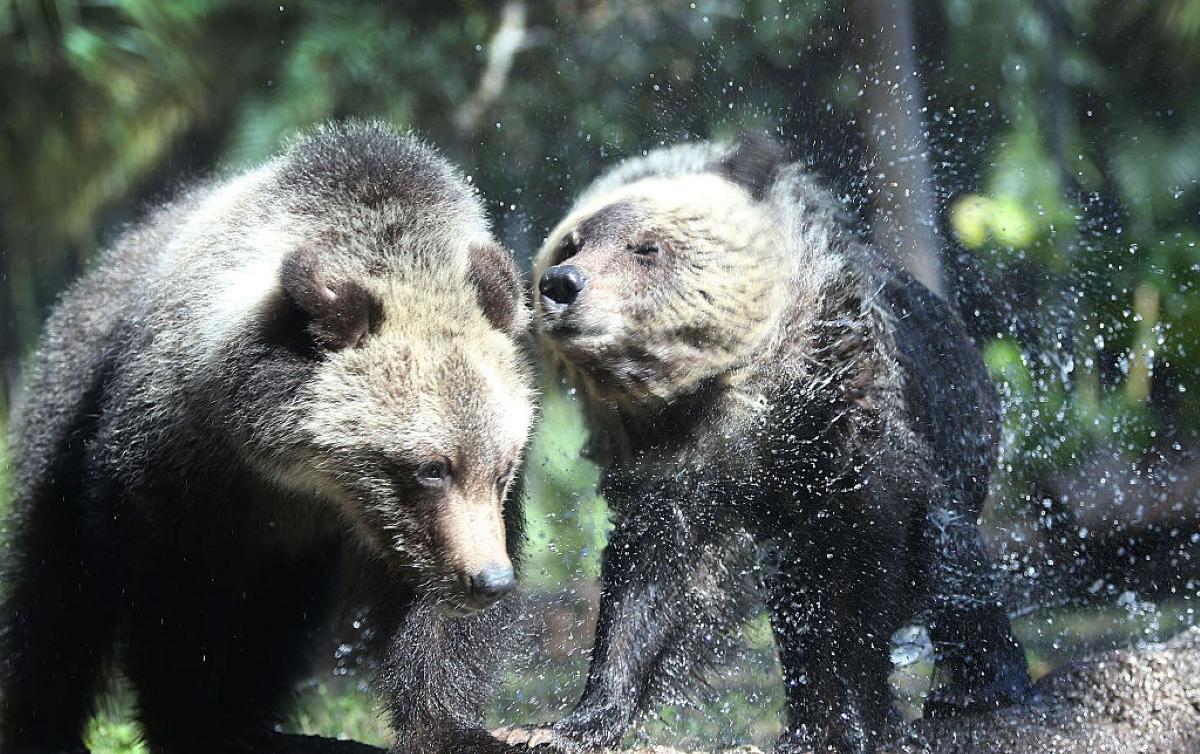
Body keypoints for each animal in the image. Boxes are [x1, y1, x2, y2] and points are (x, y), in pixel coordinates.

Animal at [0, 121, 535, 754]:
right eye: (430, 467)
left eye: (501, 468)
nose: (490, 580)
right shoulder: (174, 459)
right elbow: (166, 597)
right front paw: (189, 720)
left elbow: (430, 617)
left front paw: (450, 724)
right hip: (65, 408)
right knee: (53, 600)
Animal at [496, 134, 1032, 753]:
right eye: (572, 241)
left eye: (646, 247)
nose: (561, 284)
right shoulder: (675, 463)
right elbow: (652, 581)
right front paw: (565, 721)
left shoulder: (846, 422)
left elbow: (855, 576)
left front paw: (845, 718)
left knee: (951, 562)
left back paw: (976, 689)